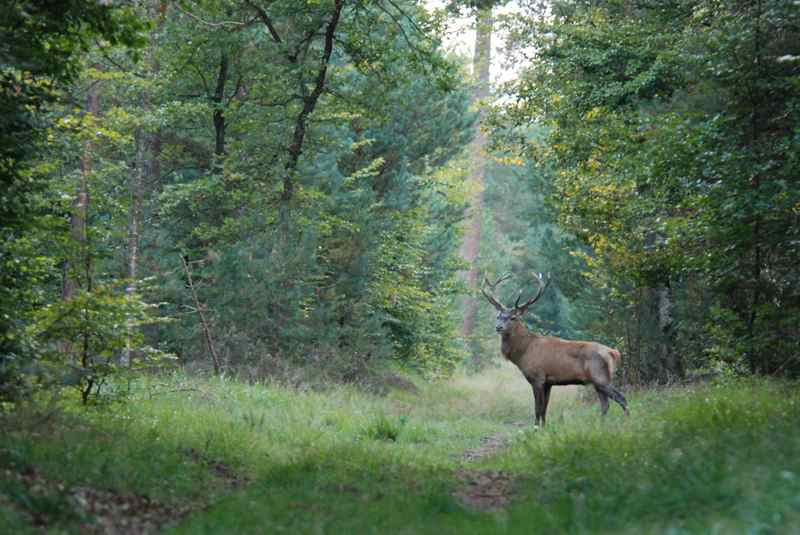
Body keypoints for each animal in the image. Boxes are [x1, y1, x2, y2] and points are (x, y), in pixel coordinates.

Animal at [481, 273, 629, 426]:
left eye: (513, 317)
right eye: (498, 316)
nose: (498, 327)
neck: (523, 353)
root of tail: (614, 353)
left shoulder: (538, 377)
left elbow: (537, 408)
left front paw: (535, 427)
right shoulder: (549, 382)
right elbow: (544, 408)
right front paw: (544, 427)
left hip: (600, 377)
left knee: (622, 398)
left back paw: (627, 422)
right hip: (597, 381)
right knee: (605, 404)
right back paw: (601, 425)